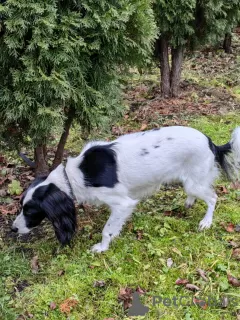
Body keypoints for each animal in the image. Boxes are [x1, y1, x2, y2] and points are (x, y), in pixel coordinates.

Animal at [11, 125, 240, 252]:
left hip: (195, 182)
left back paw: (206, 222)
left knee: (213, 198)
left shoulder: (123, 203)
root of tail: (211, 142)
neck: (77, 173)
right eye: (21, 206)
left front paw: (102, 247)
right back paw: (189, 203)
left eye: (29, 210)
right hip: (190, 182)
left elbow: (107, 229)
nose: (13, 229)